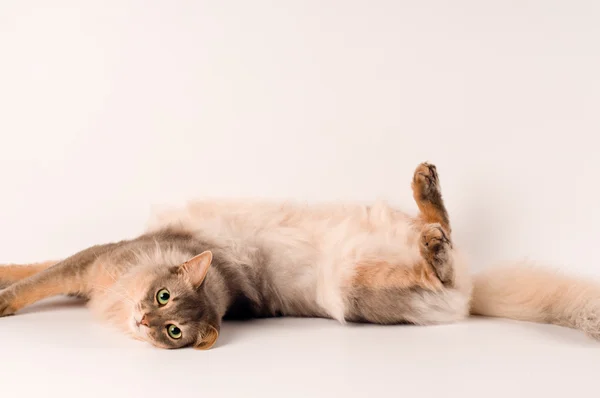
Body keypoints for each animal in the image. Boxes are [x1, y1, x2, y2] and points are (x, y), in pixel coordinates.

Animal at [1, 162, 600, 348]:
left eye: (171, 322)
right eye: (162, 297)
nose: (143, 321)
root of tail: (475, 296)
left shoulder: (97, 261)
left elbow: (35, 278)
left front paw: (3, 301)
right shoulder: (91, 265)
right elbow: (35, 269)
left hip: (355, 292)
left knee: (441, 269)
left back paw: (431, 230)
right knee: (441, 234)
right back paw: (427, 197)